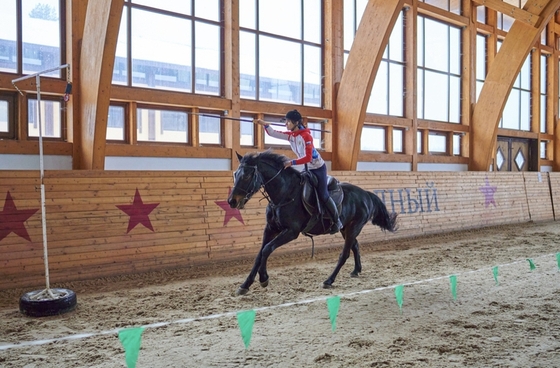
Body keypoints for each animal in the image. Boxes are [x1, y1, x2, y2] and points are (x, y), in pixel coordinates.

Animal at [229, 151, 398, 294]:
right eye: (235, 174)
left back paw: (329, 280)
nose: (232, 201)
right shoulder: (270, 228)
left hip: (354, 227)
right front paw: (245, 285)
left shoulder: (291, 232)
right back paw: (356, 270)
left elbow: (267, 250)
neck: (285, 193)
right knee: (355, 246)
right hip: (346, 228)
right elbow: (259, 254)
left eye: (247, 176)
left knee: (344, 254)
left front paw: (264, 278)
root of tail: (366, 194)